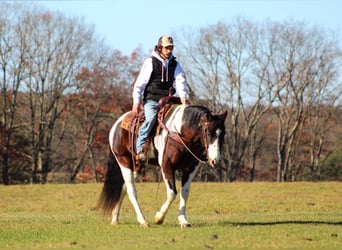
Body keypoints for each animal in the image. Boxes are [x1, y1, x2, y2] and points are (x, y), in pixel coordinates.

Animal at [96, 102, 227, 228]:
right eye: (209, 133)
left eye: (223, 134)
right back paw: (143, 221)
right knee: (131, 190)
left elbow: (184, 193)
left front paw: (183, 221)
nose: (216, 160)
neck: (179, 132)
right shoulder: (166, 165)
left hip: (137, 166)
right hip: (124, 161)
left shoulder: (190, 169)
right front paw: (159, 217)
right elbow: (172, 193)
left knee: (124, 187)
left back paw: (115, 217)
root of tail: (117, 124)